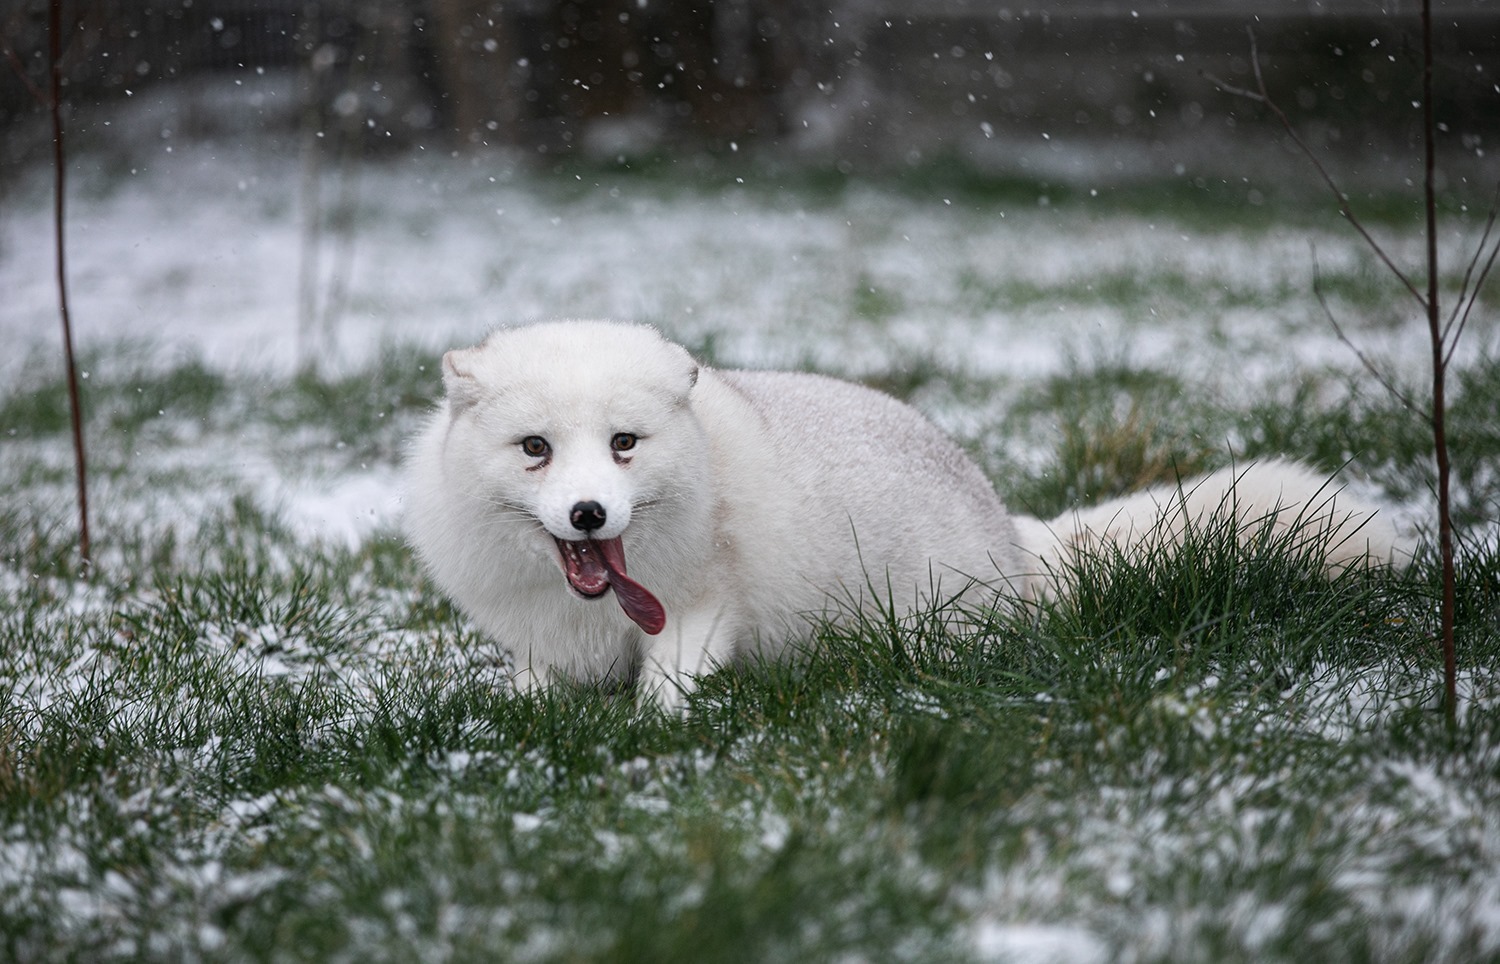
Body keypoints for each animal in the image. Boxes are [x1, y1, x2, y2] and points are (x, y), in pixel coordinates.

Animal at [402, 322, 1404, 707]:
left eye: (623, 444)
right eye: (535, 448)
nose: (587, 513)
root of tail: (1013, 533)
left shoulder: (703, 608)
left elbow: (668, 691)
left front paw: (650, 732)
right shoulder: (546, 644)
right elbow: (535, 692)